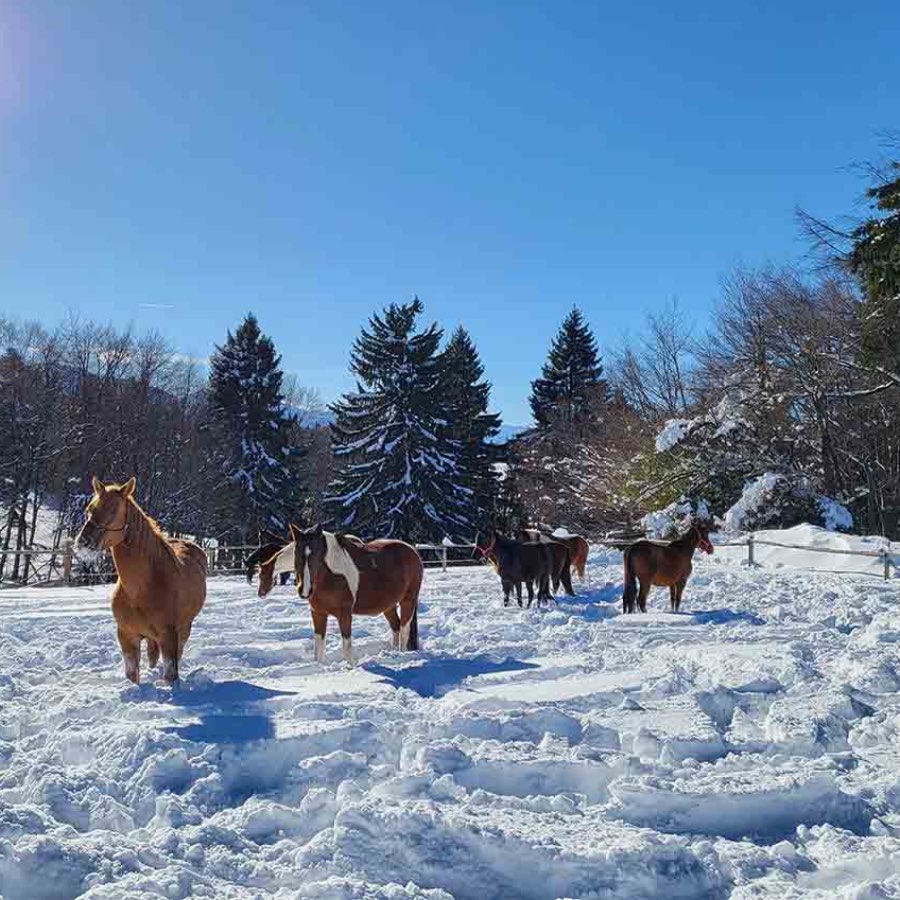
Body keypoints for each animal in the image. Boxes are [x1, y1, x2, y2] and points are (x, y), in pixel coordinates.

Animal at [76, 478, 207, 684]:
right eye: (89, 509)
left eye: (114, 509)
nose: (84, 542)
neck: (140, 590)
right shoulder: (127, 636)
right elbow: (132, 675)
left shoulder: (169, 636)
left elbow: (171, 674)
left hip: (185, 628)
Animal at [290, 524, 428, 664]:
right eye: (296, 553)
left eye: (317, 555)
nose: (305, 591)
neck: (331, 576)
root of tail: (413, 551)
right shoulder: (318, 613)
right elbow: (318, 649)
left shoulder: (345, 614)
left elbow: (347, 645)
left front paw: (350, 666)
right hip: (389, 606)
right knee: (396, 626)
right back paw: (394, 652)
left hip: (408, 601)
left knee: (404, 630)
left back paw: (402, 654)